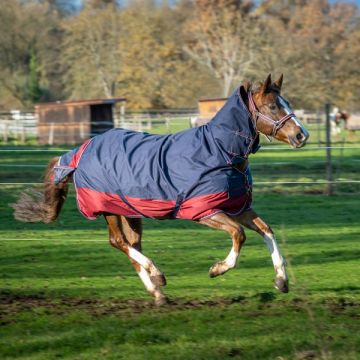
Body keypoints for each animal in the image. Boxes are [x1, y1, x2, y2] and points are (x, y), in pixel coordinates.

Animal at [11, 74, 310, 306]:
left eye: (286, 103)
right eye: (272, 106)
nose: (301, 135)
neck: (220, 152)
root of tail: (80, 151)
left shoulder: (238, 208)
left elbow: (267, 231)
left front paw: (281, 281)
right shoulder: (204, 211)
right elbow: (239, 235)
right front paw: (217, 269)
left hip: (130, 212)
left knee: (131, 245)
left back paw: (157, 292)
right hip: (108, 209)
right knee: (119, 242)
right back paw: (157, 274)